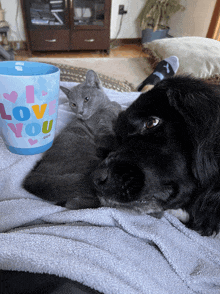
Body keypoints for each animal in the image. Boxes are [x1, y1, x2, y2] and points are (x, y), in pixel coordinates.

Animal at [23, 70, 121, 209]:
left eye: (86, 99)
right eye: (73, 104)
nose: (80, 112)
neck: (105, 107)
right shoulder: (102, 132)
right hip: (86, 160)